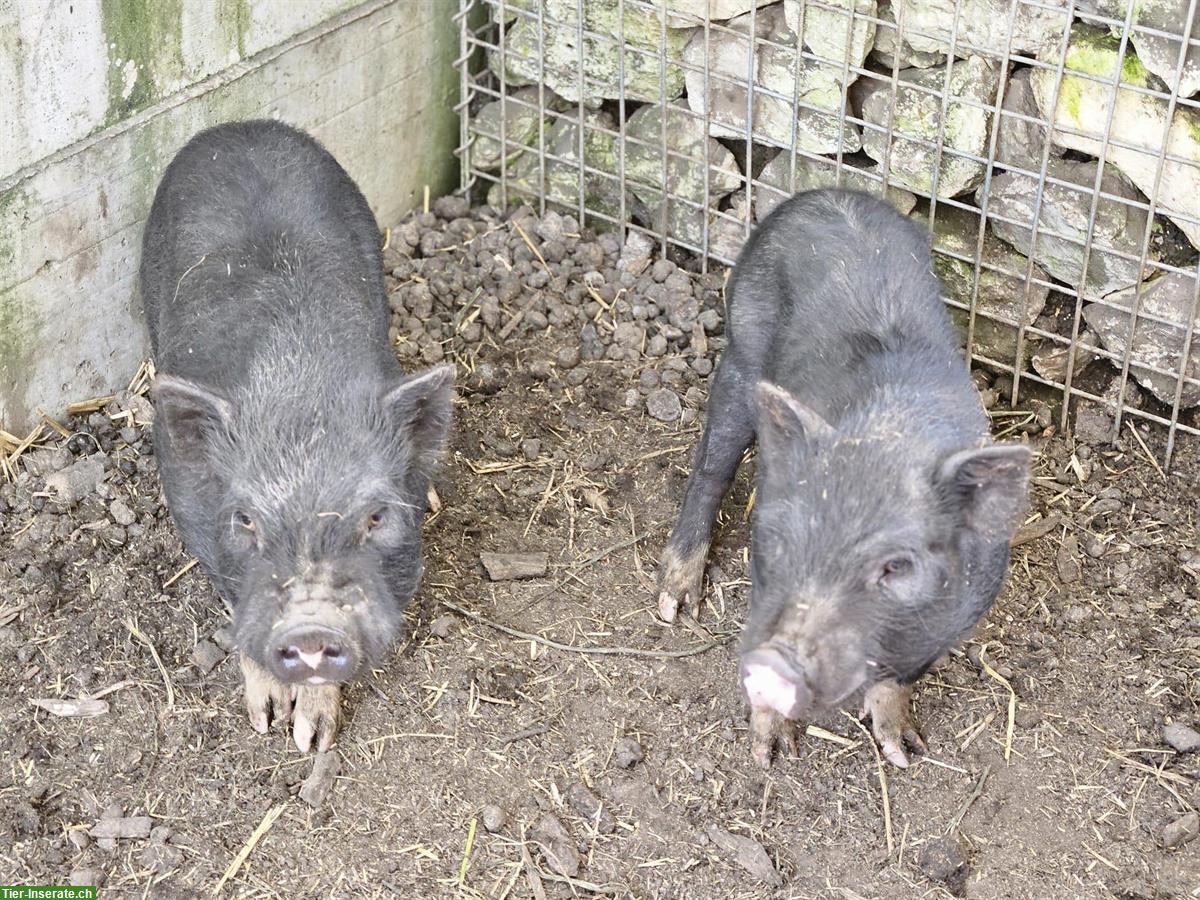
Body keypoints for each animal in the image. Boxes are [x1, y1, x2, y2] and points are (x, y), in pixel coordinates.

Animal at [139, 120, 453, 753]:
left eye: (376, 516)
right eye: (245, 519)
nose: (311, 624)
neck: (298, 387)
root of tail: (242, 126)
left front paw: (312, 739)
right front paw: (265, 721)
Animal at [657, 188, 1032, 768]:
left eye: (895, 566)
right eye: (791, 541)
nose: (777, 664)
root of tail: (824, 194)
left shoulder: (957, 614)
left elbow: (901, 677)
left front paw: (903, 751)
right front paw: (768, 754)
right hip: (743, 343)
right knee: (710, 465)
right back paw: (675, 606)